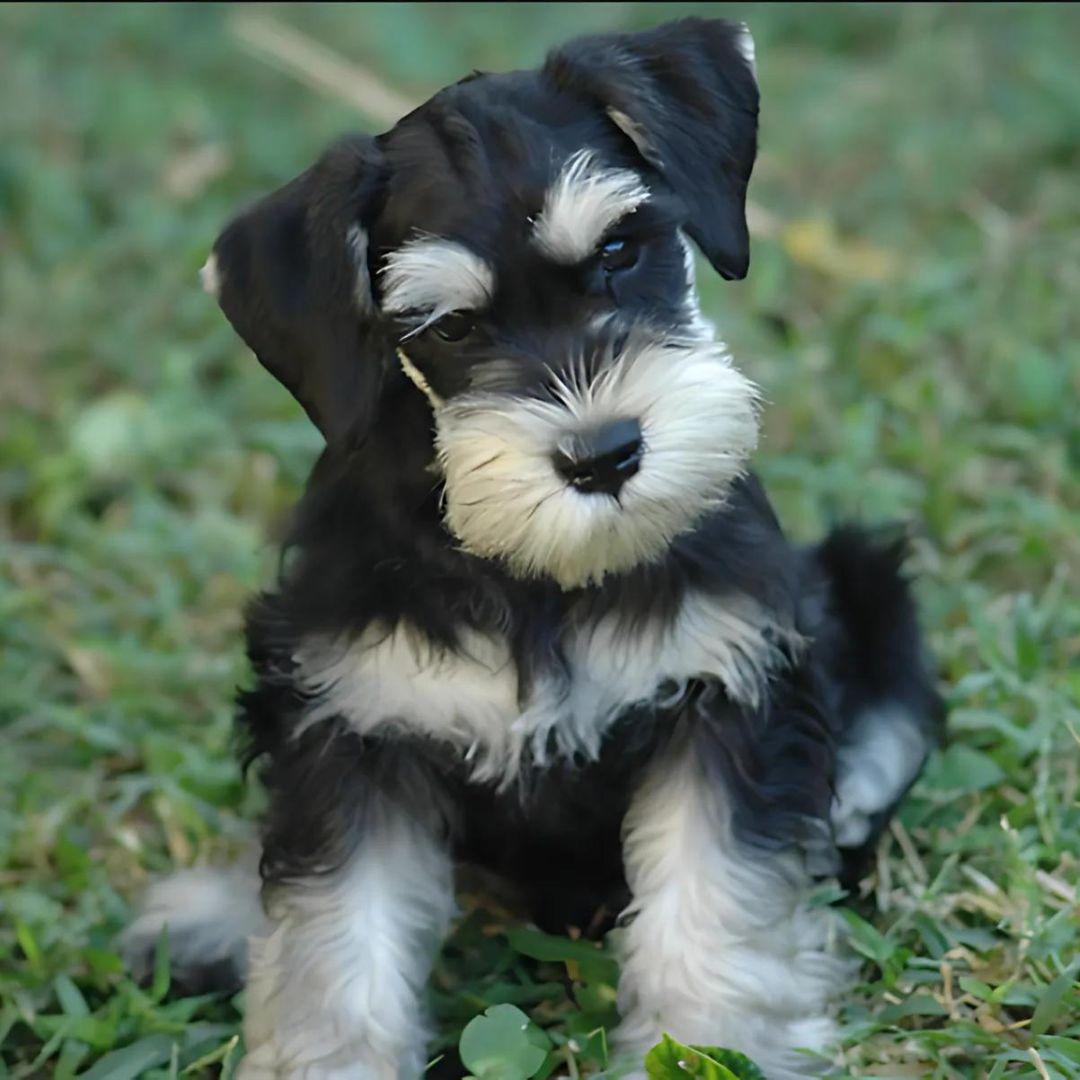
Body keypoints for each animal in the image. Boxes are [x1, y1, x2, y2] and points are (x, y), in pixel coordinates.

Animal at [122, 19, 941, 1080]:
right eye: (450, 327)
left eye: (622, 248)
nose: (605, 456)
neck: (539, 577)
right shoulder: (347, 725)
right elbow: (336, 937)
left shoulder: (728, 690)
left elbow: (714, 902)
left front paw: (712, 1041)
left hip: (860, 581)